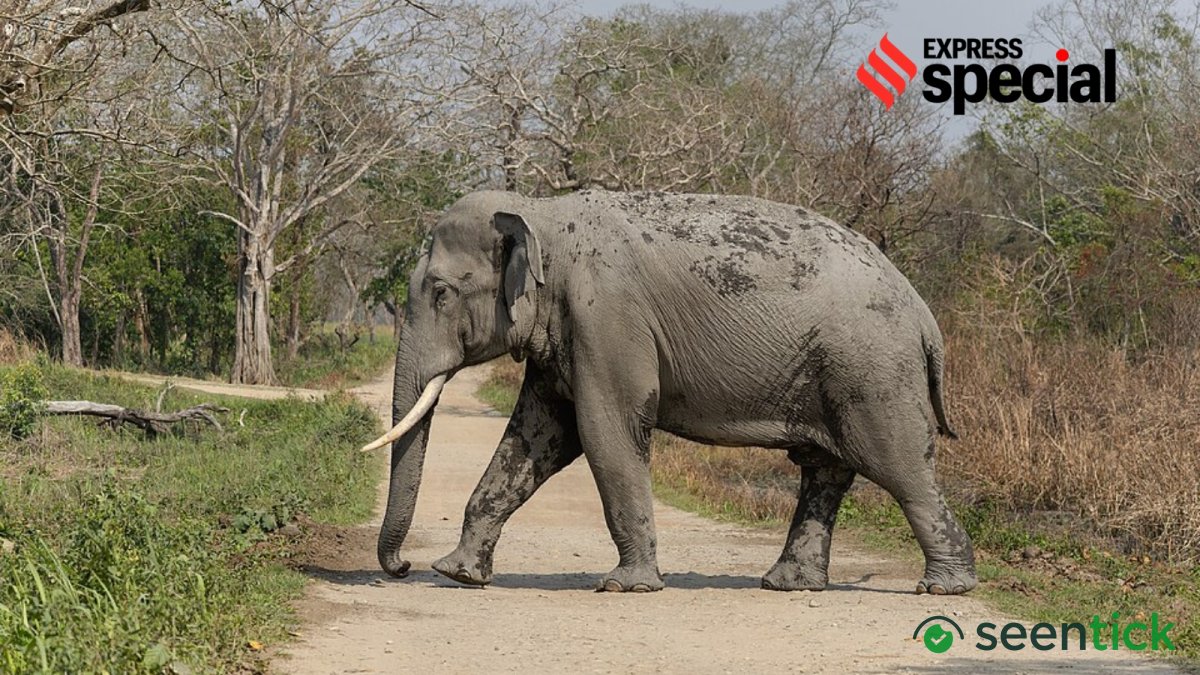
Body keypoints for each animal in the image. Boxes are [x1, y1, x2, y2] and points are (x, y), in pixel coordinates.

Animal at [361, 188, 977, 595]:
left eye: (440, 292)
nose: (404, 568)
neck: (543, 213)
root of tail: (924, 315)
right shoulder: (566, 332)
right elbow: (536, 439)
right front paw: (460, 573)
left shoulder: (606, 317)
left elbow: (604, 431)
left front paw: (625, 586)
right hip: (837, 369)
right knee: (824, 469)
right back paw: (788, 585)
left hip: (874, 370)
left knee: (899, 466)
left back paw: (945, 588)